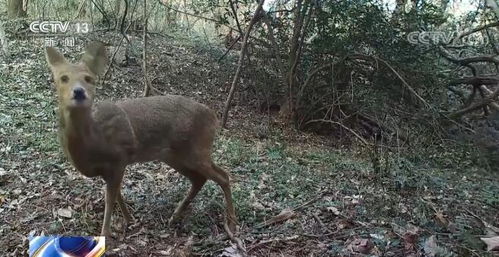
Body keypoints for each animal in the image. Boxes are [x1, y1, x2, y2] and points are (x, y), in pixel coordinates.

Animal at [45, 41, 238, 238]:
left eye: (89, 78)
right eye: (63, 78)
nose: (79, 92)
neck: (93, 143)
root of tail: (214, 117)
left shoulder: (120, 157)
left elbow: (110, 198)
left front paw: (107, 233)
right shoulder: (108, 169)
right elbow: (117, 194)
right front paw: (130, 219)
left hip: (197, 149)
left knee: (223, 176)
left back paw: (232, 224)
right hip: (174, 155)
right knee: (199, 179)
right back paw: (174, 217)